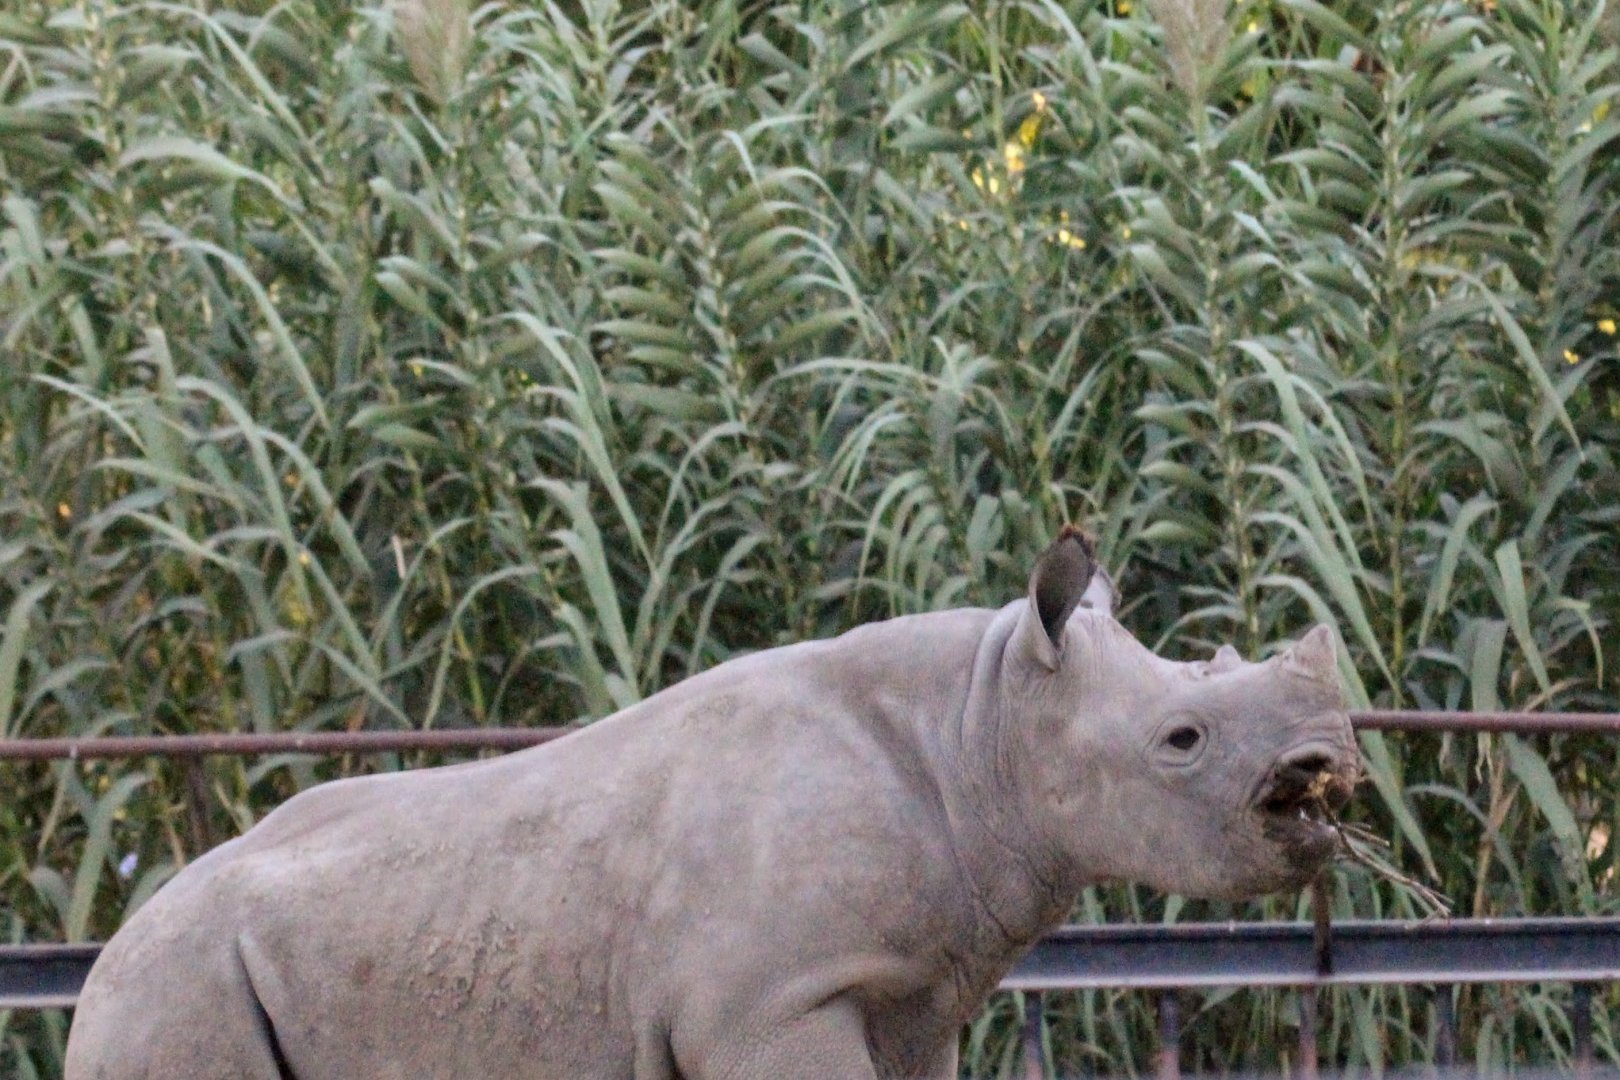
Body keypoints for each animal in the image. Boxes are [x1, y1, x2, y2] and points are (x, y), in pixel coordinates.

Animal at [66, 529, 1358, 1079]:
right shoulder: (770, 1003)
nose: (1332, 761)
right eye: (1181, 741)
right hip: (175, 991)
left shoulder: (908, 997)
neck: (982, 726)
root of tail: (105, 953)